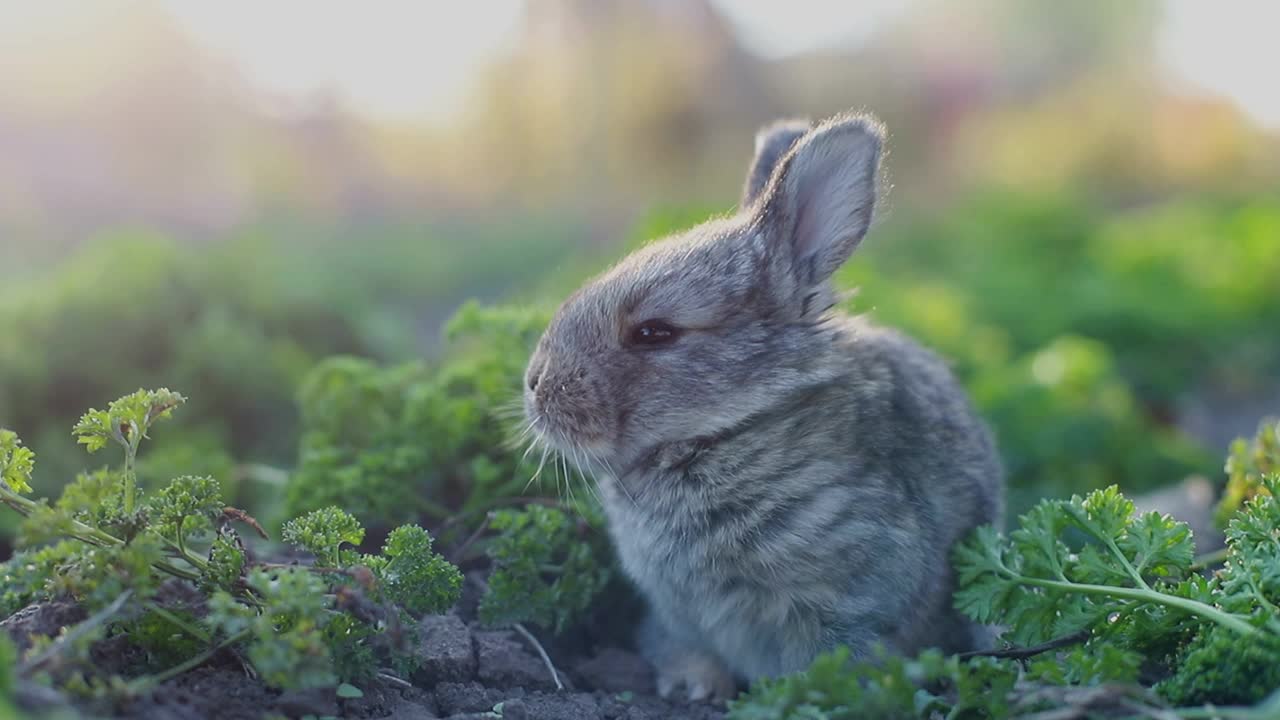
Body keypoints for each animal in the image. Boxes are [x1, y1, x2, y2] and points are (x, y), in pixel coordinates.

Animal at [524, 112, 1003, 702]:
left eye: (654, 332)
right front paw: (694, 686)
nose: (535, 385)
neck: (732, 428)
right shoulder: (679, 614)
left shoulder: (842, 602)